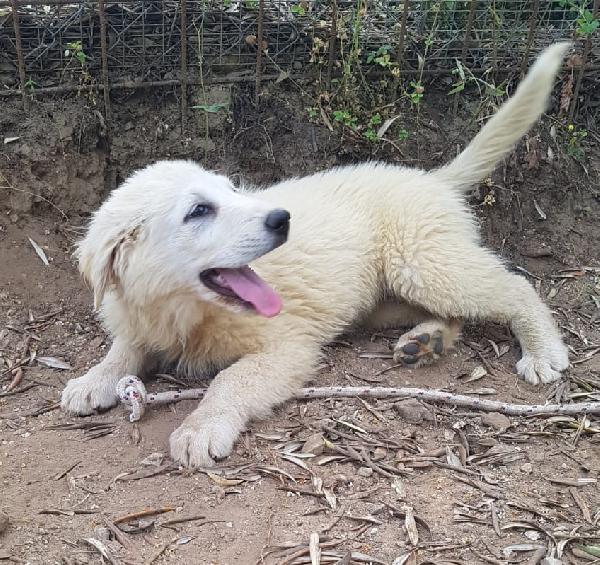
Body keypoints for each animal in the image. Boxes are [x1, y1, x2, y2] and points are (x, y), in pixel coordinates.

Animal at [62, 45, 572, 468]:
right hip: (386, 296)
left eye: (232, 190)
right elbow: (124, 349)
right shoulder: (139, 321)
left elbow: (232, 379)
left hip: (421, 264)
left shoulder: (287, 346)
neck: (182, 314)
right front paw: (92, 380)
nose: (281, 219)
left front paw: (200, 428)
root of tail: (433, 179)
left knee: (514, 285)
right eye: (199, 211)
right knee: (453, 312)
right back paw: (427, 341)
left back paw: (543, 352)